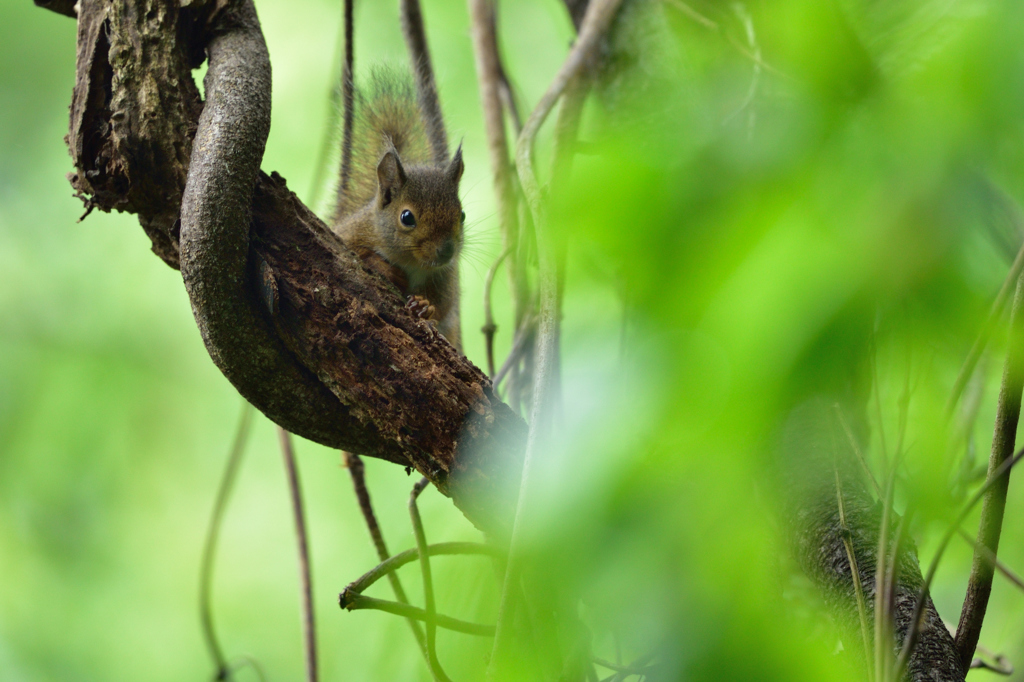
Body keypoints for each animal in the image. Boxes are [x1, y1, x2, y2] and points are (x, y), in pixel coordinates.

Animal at [333, 69, 466, 350]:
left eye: (461, 215)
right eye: (406, 217)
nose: (447, 251)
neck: (413, 263)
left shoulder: (445, 276)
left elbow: (444, 306)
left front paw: (425, 307)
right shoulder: (348, 233)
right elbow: (355, 252)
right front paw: (386, 269)